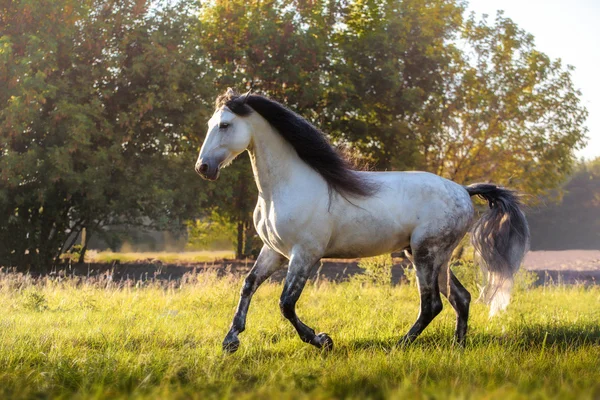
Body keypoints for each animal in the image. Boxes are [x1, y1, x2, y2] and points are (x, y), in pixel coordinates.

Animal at [195, 88, 528, 354]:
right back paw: (458, 347)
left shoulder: (305, 254)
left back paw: (399, 346)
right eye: (210, 124)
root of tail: (463, 190)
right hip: (434, 257)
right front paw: (230, 341)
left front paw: (323, 340)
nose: (203, 168)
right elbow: (248, 285)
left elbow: (286, 304)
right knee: (461, 298)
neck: (284, 188)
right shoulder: (274, 252)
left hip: (426, 254)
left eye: (225, 125)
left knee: (432, 304)